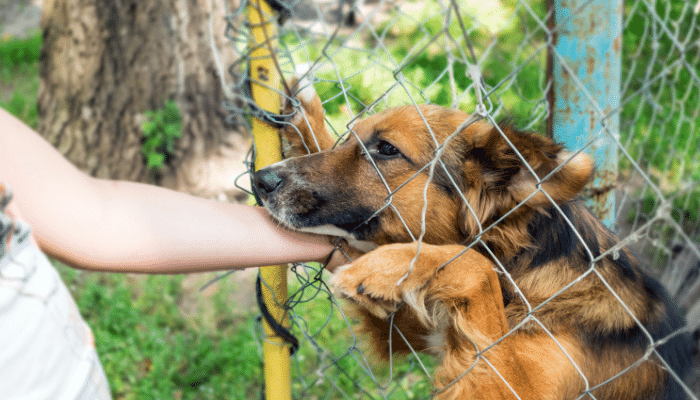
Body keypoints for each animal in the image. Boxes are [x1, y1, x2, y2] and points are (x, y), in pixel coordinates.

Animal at [253, 76, 696, 398]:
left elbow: (475, 265)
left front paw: (390, 265)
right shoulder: (417, 333)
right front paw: (305, 116)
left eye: (386, 149)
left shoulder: (519, 387)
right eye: (350, 138)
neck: (523, 267)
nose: (261, 181)